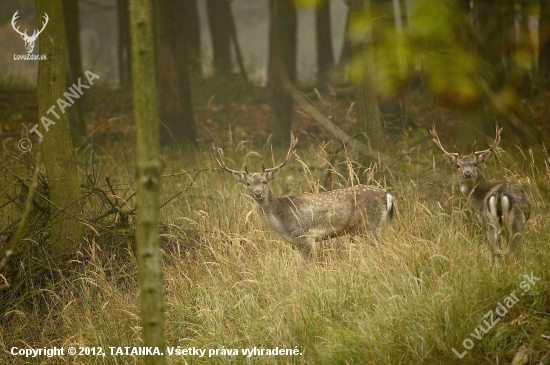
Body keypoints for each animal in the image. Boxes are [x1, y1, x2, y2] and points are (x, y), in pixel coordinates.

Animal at [212, 132, 396, 260]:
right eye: (248, 183)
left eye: (265, 181)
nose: (258, 193)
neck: (282, 221)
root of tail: (388, 195)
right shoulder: (298, 243)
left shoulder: (308, 235)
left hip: (369, 225)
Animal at [434, 123, 532, 264]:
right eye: (458, 165)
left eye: (475, 163)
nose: (467, 173)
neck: (478, 202)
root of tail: (499, 194)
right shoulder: (483, 220)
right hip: (511, 222)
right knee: (506, 252)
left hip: (493, 223)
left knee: (499, 251)